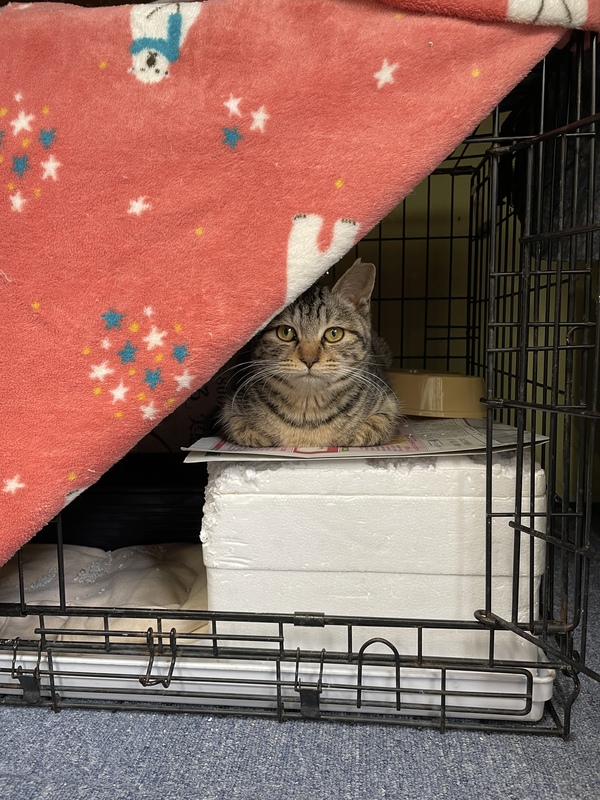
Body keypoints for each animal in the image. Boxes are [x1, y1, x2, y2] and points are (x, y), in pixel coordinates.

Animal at [219, 258, 401, 447]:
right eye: (286, 332)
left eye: (334, 333)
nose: (309, 359)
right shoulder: (230, 410)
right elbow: (240, 429)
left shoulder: (388, 405)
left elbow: (374, 428)